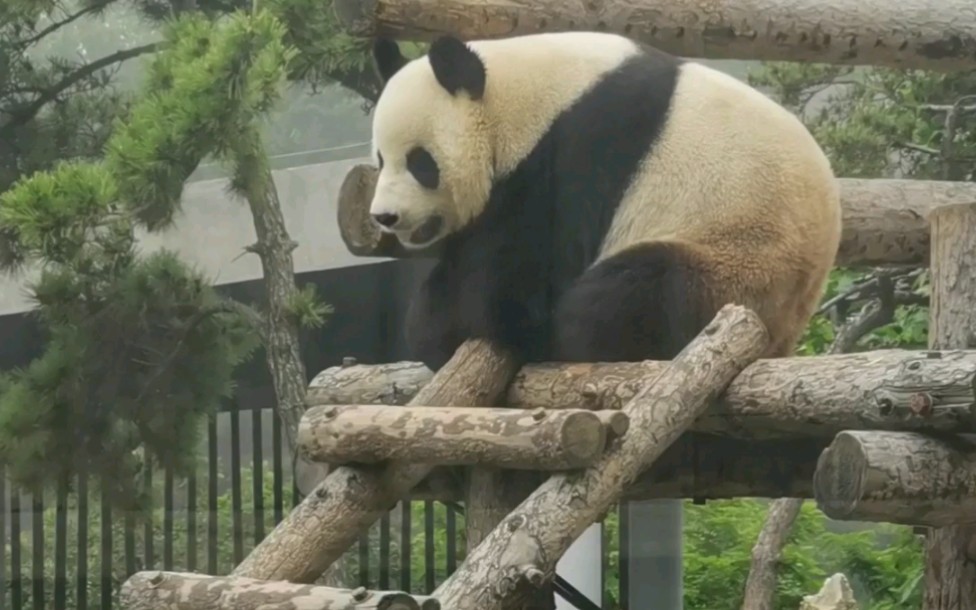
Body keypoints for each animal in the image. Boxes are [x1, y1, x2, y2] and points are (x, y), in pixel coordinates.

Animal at [370, 32, 844, 370]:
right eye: (379, 159)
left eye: (421, 162)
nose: (385, 216)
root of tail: (784, 335)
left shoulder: (582, 150)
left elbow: (514, 280)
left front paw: (434, 325)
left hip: (735, 263)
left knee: (622, 300)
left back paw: (552, 340)